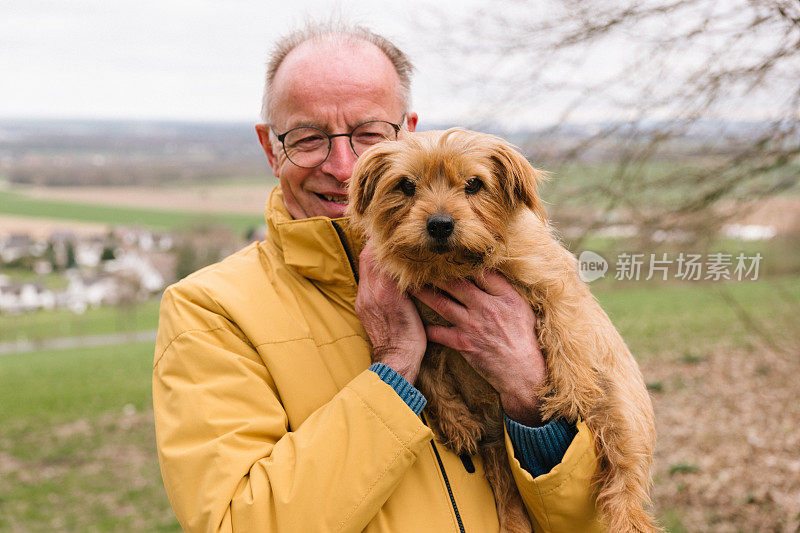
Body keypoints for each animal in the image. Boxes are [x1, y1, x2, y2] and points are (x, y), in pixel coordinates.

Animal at [348, 129, 656, 532]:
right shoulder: (419, 325)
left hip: (620, 422)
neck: (455, 267)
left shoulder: (553, 284)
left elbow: (564, 332)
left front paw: (571, 391)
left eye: (474, 184)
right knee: (509, 496)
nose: (440, 224)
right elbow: (427, 372)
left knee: (624, 487)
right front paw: (458, 423)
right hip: (499, 457)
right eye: (406, 185)